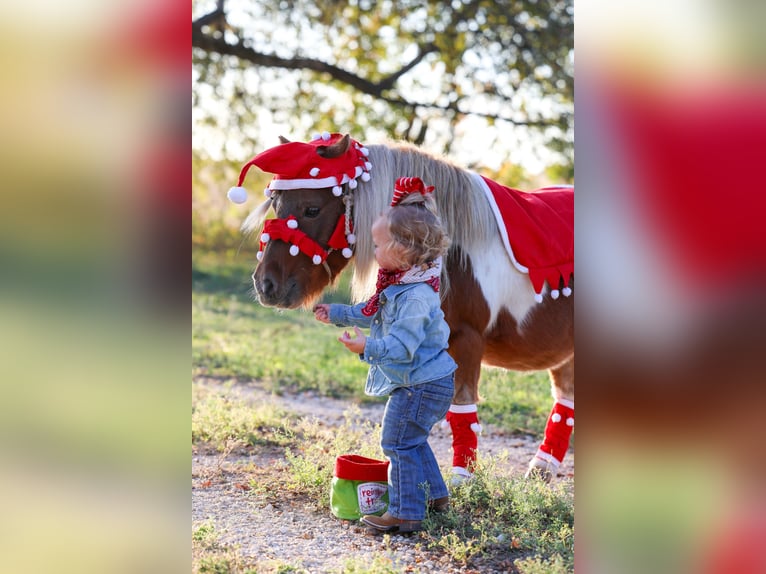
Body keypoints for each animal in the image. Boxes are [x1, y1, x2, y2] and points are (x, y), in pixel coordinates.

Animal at [233, 132, 574, 482]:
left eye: (312, 208)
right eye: (276, 205)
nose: (266, 285)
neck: (451, 254)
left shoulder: (467, 341)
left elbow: (462, 410)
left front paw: (462, 480)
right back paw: (543, 467)